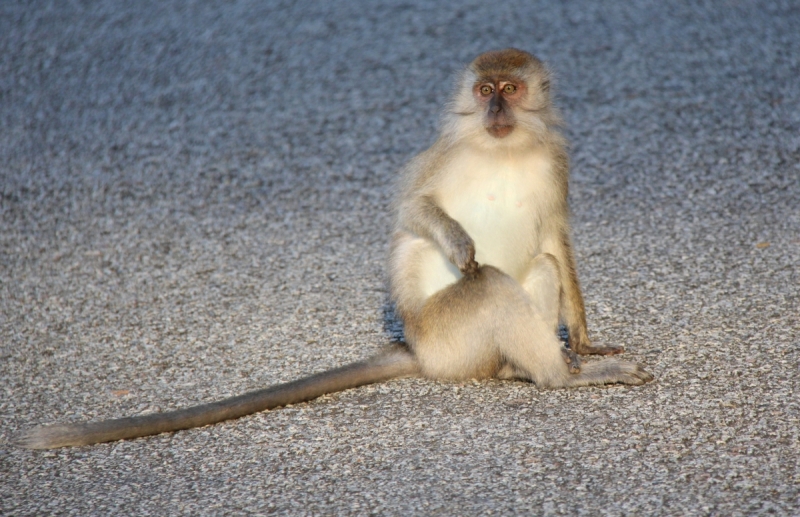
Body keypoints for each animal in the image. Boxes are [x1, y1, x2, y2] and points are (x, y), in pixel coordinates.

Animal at [10, 50, 648, 450]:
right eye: (485, 90)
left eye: (510, 91)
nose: (495, 109)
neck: (504, 148)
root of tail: (417, 347)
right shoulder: (445, 154)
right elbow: (412, 212)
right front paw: (457, 240)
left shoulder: (554, 162)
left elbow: (555, 237)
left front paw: (585, 340)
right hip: (450, 336)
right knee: (491, 283)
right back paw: (558, 378)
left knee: (539, 264)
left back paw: (530, 367)